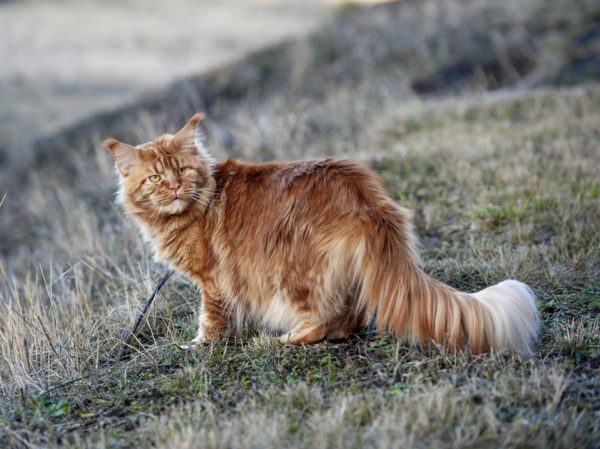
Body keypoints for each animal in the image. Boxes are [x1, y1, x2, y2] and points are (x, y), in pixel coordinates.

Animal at [104, 112, 540, 354]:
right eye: (156, 178)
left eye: (181, 170)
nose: (175, 187)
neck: (195, 206)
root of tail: (365, 196)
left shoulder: (214, 281)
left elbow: (210, 320)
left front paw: (200, 346)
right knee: (353, 313)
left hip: (291, 269)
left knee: (325, 312)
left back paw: (289, 338)